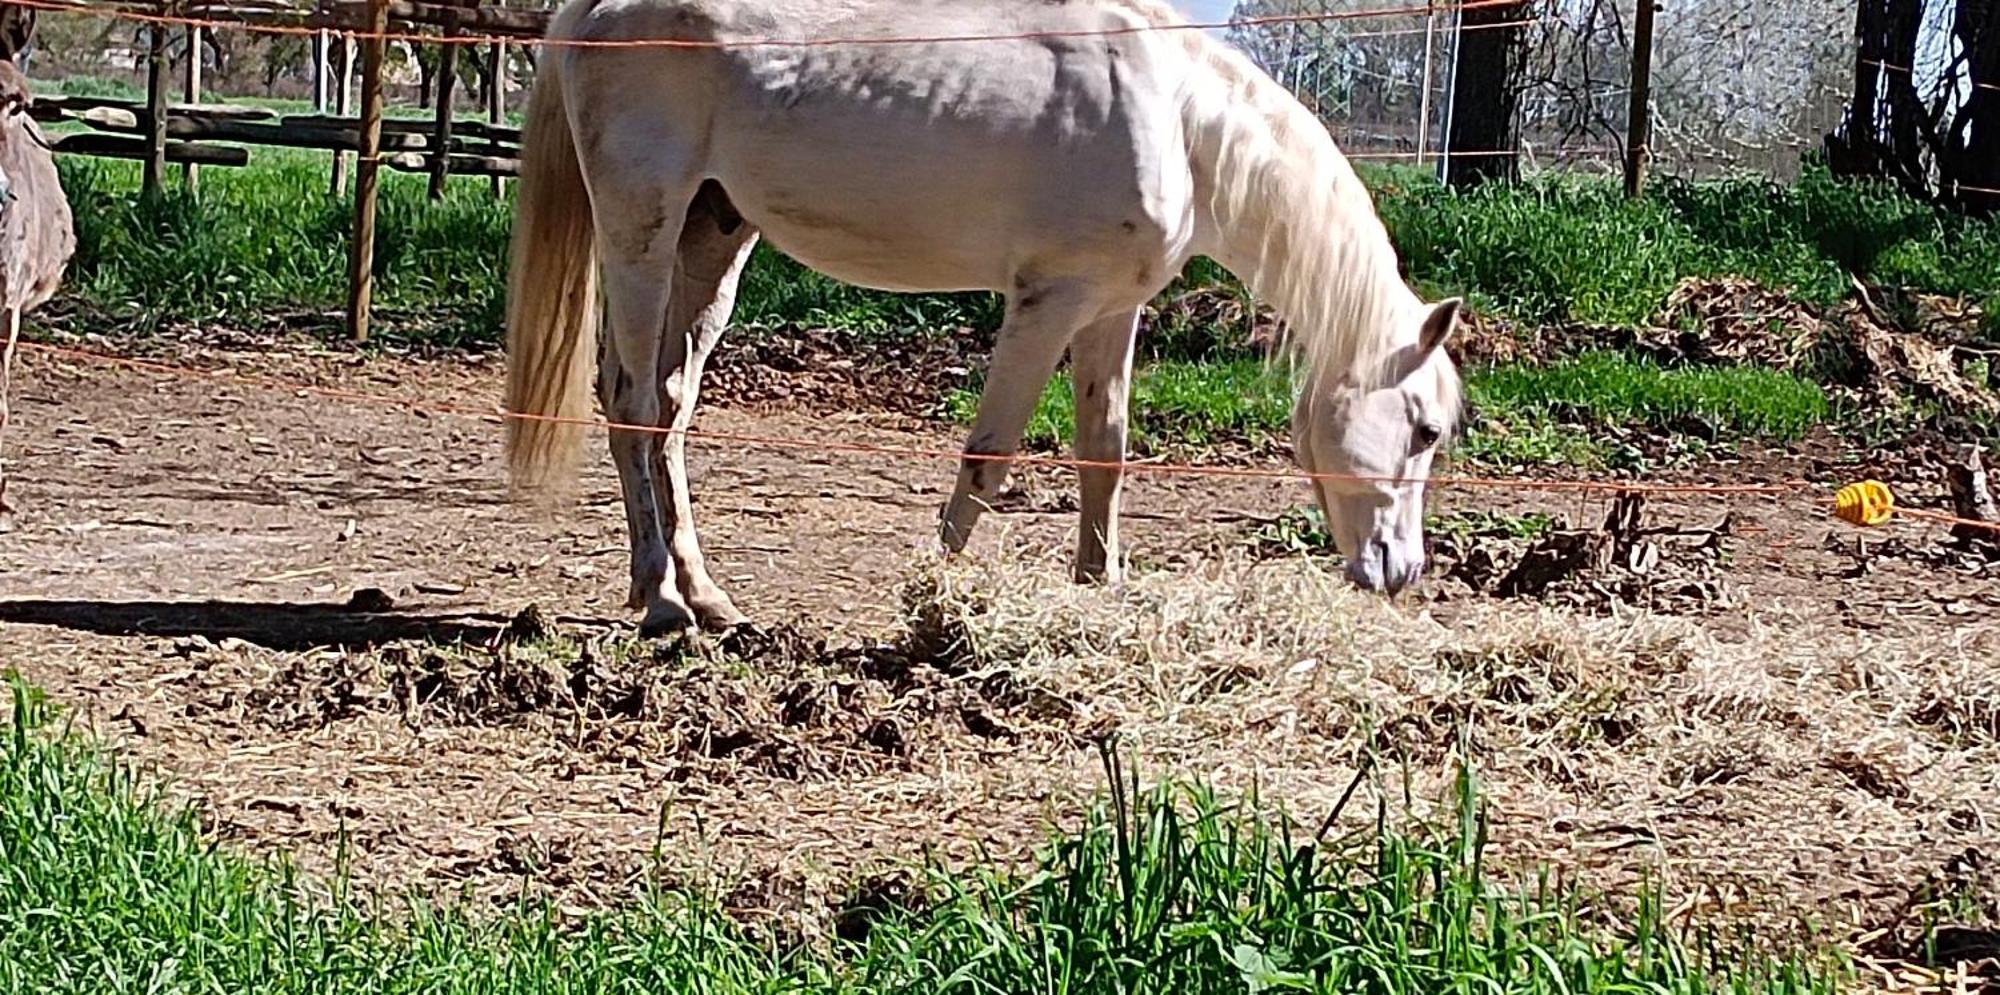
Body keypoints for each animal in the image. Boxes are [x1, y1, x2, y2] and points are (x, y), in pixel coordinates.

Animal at [508, 0, 1464, 639]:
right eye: (1421, 430)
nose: (1402, 572)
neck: (1178, 117)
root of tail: (595, 8)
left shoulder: (1112, 309)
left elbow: (1105, 450)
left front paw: (1099, 583)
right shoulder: (1048, 303)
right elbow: (991, 452)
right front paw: (931, 595)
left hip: (713, 237)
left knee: (670, 405)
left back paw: (703, 593)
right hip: (641, 229)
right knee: (632, 399)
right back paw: (661, 600)